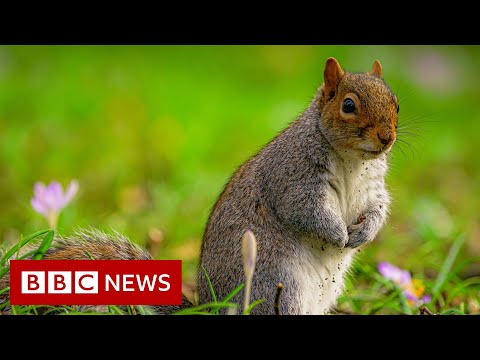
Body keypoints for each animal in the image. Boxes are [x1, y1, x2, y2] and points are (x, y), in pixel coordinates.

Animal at [0, 57, 398, 314]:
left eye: (395, 102)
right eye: (348, 105)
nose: (387, 138)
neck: (352, 159)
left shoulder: (373, 188)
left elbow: (378, 209)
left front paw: (362, 235)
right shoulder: (292, 176)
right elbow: (305, 210)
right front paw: (339, 235)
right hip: (277, 285)